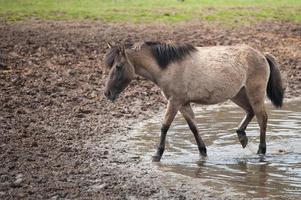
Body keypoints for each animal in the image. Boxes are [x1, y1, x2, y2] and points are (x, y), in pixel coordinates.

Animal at [103, 41, 284, 162]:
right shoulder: (183, 104)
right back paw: (242, 137)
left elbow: (164, 126)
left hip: (255, 94)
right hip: (238, 94)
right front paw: (203, 152)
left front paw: (157, 154)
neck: (168, 67)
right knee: (250, 112)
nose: (107, 93)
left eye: (118, 66)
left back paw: (261, 150)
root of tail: (262, 54)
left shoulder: (175, 102)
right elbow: (193, 128)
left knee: (262, 118)